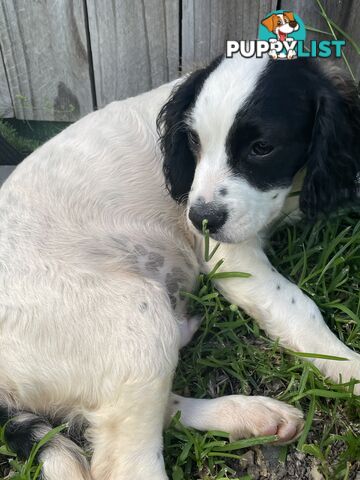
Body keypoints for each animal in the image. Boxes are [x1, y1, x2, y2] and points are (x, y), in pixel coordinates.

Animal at [0, 56, 358, 480]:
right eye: (194, 143)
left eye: (262, 148)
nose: (199, 219)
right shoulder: (225, 253)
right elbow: (298, 306)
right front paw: (350, 369)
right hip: (136, 317)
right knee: (128, 462)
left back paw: (248, 413)